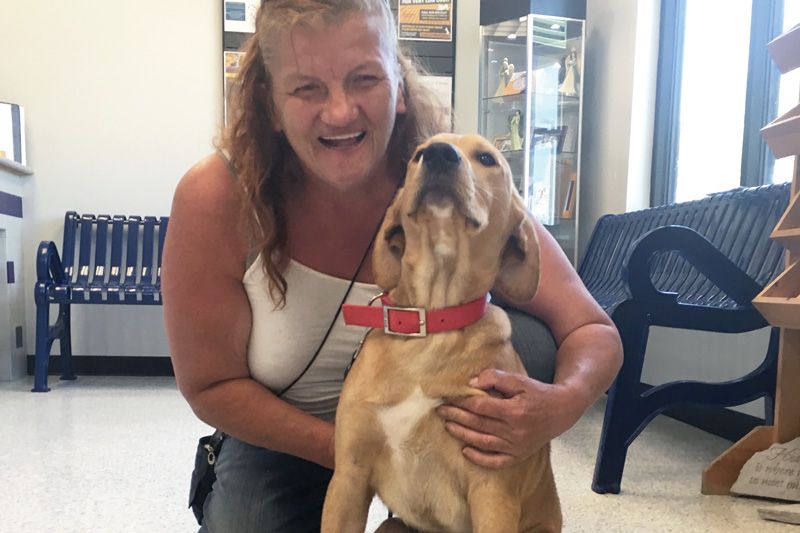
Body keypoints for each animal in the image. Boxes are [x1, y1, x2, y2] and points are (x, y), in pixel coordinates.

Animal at [322, 133, 560, 532]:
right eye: (418, 153)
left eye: (487, 158)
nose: (438, 155)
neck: (432, 324)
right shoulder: (348, 477)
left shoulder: (491, 490)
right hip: (391, 524)